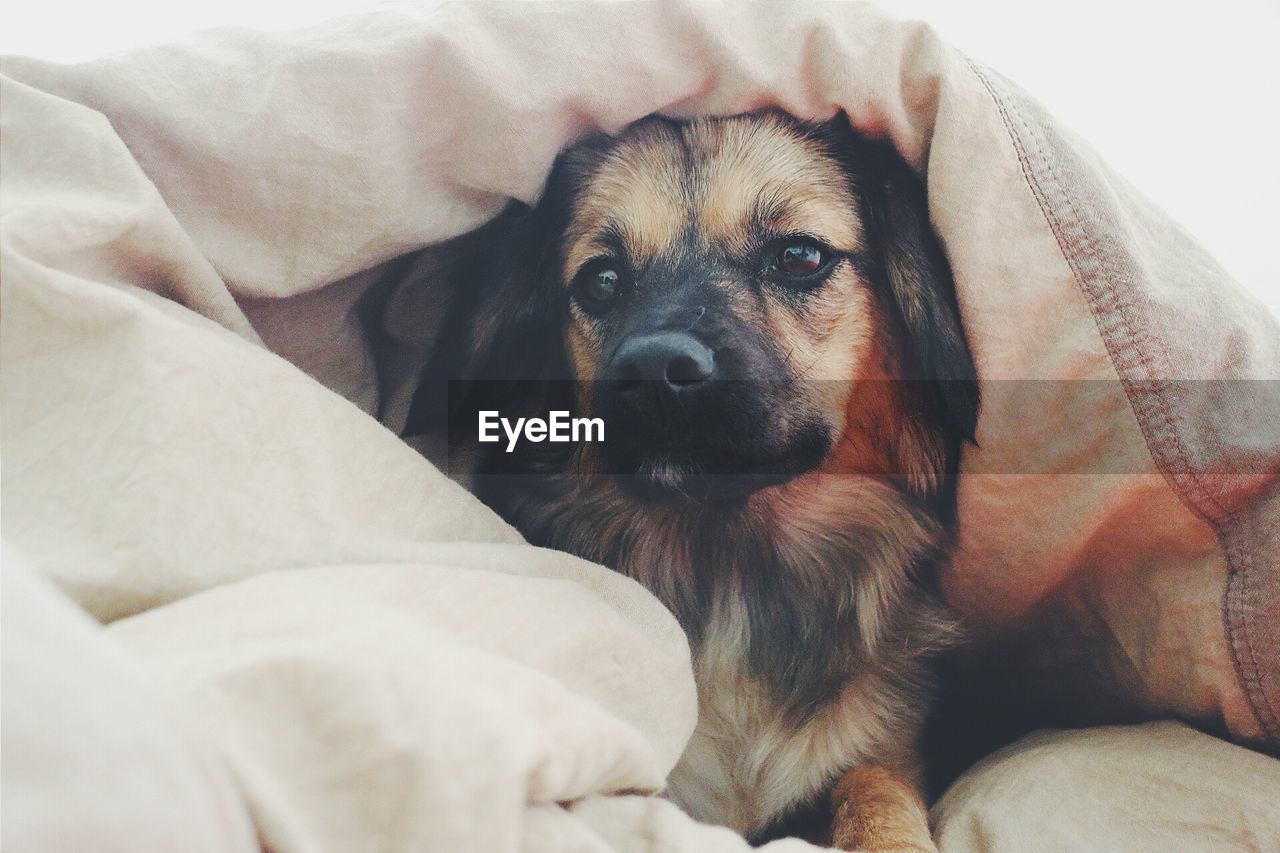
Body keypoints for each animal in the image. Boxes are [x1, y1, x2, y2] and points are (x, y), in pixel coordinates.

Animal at [404, 109, 972, 845]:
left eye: (800, 256)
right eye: (602, 280)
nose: (655, 369)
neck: (731, 565)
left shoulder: (886, 743)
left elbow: (875, 786)